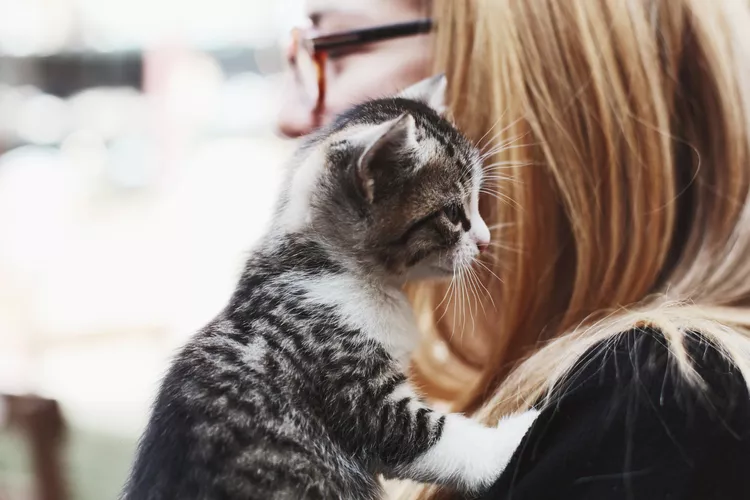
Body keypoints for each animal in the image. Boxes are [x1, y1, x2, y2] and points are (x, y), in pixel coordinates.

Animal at [123, 75, 536, 500]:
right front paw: (518, 431)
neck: (339, 270)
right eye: (453, 213)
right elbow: (423, 435)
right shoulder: (348, 384)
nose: (485, 240)